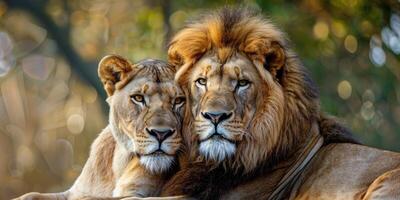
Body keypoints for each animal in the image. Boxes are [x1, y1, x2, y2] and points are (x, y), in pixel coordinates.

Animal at [14, 55, 186, 200]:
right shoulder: (74, 191)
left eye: (179, 100)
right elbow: (31, 194)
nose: (161, 134)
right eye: (138, 98)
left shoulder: (135, 195)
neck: (119, 165)